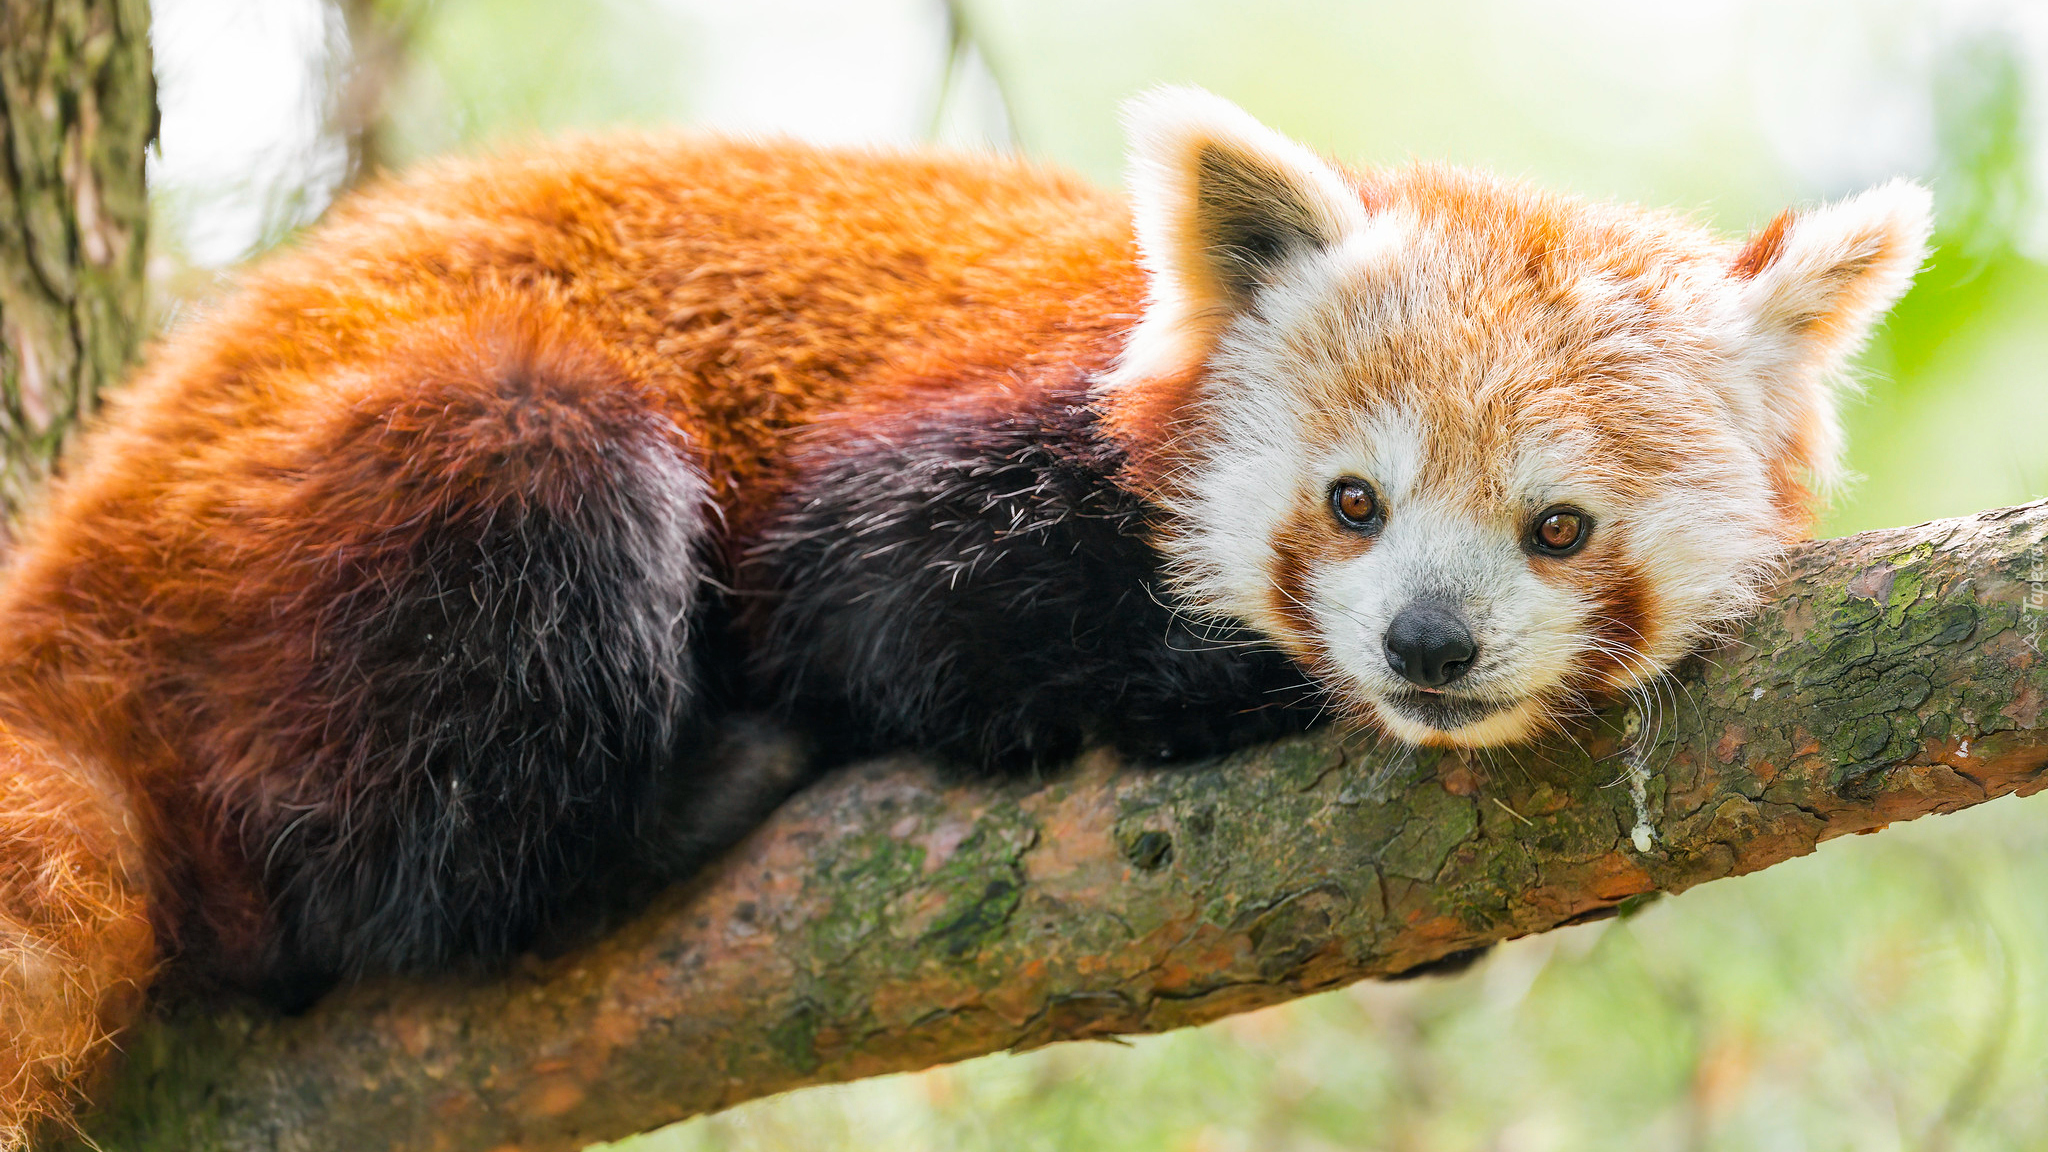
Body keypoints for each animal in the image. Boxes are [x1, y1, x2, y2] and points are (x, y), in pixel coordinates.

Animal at [0, 87, 1925, 1131]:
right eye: (1352, 504)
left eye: (1556, 527)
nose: (1425, 650)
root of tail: (71, 588)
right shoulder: (959, 447)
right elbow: (890, 608)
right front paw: (1220, 685)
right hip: (338, 523)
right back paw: (669, 805)